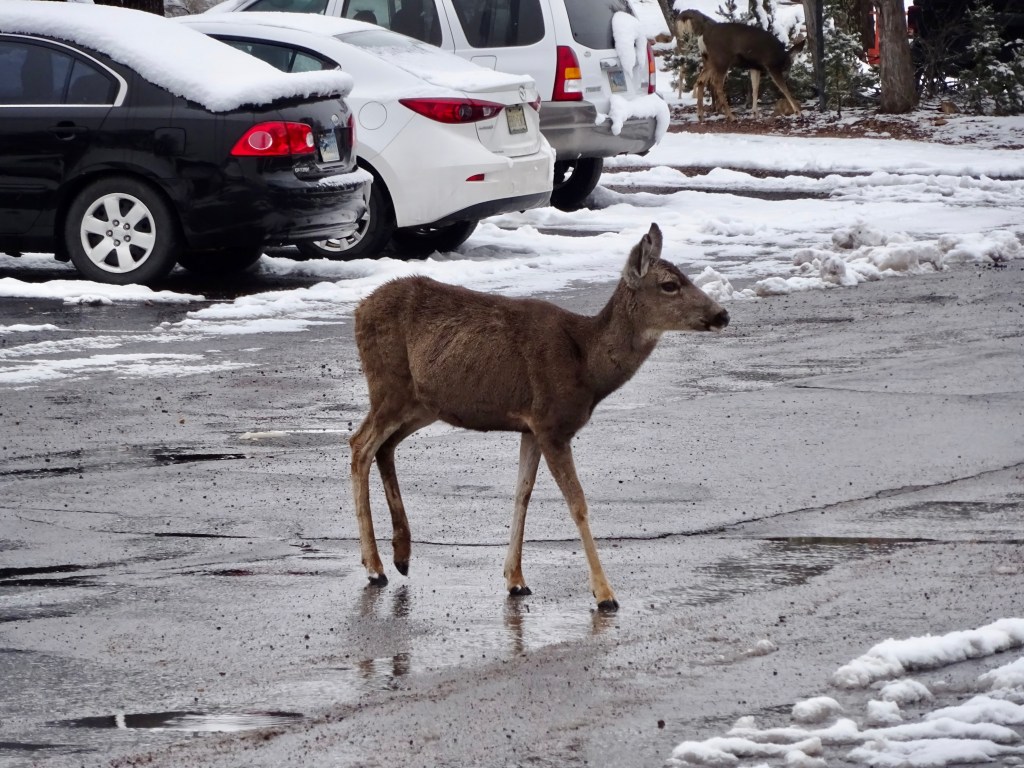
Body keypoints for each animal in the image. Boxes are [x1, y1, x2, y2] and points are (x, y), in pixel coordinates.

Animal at [349, 224, 730, 612]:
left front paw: (516, 579)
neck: (586, 363)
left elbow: (523, 493)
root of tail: (359, 309)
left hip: (422, 403)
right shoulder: (551, 423)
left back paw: (401, 555)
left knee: (385, 447)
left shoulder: (530, 426)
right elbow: (577, 504)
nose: (722, 314)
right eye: (669, 284)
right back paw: (375, 567)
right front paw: (604, 593)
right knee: (360, 445)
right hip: (389, 385)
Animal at [674, 8, 804, 121]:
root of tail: (702, 35)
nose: (787, 74)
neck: (780, 55)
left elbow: (755, 88)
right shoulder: (771, 65)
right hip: (722, 59)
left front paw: (755, 113)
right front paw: (798, 112)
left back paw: (701, 115)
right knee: (716, 83)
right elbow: (784, 89)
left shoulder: (754, 67)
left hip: (708, 59)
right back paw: (731, 116)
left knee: (701, 81)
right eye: (788, 64)